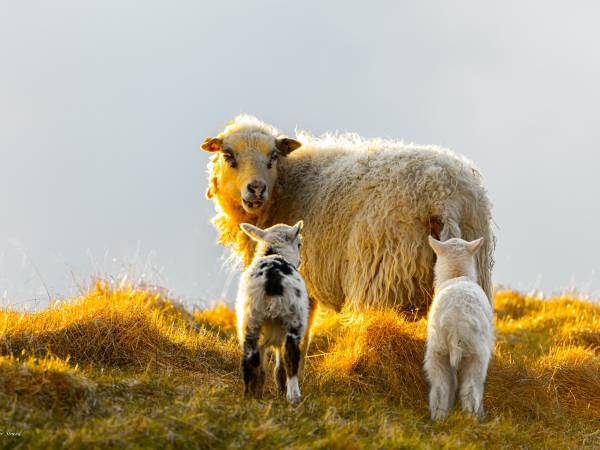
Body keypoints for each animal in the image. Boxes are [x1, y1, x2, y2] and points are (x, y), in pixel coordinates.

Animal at [202, 114, 492, 312]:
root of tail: (442, 192)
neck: (285, 185)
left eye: (272, 156)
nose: (256, 189)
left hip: (382, 276)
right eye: (228, 156)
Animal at [234, 220, 310, 402]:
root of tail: (272, 278)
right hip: (293, 319)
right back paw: (294, 397)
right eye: (299, 244)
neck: (274, 253)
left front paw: (260, 392)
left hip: (251, 318)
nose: (300, 262)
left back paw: (249, 396)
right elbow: (280, 366)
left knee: (250, 357)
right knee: (290, 356)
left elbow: (262, 368)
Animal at [424, 237, 494, 420]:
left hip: (437, 350)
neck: (456, 274)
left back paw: (439, 418)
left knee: (440, 388)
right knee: (470, 389)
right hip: (476, 353)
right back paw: (474, 418)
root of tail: (455, 323)